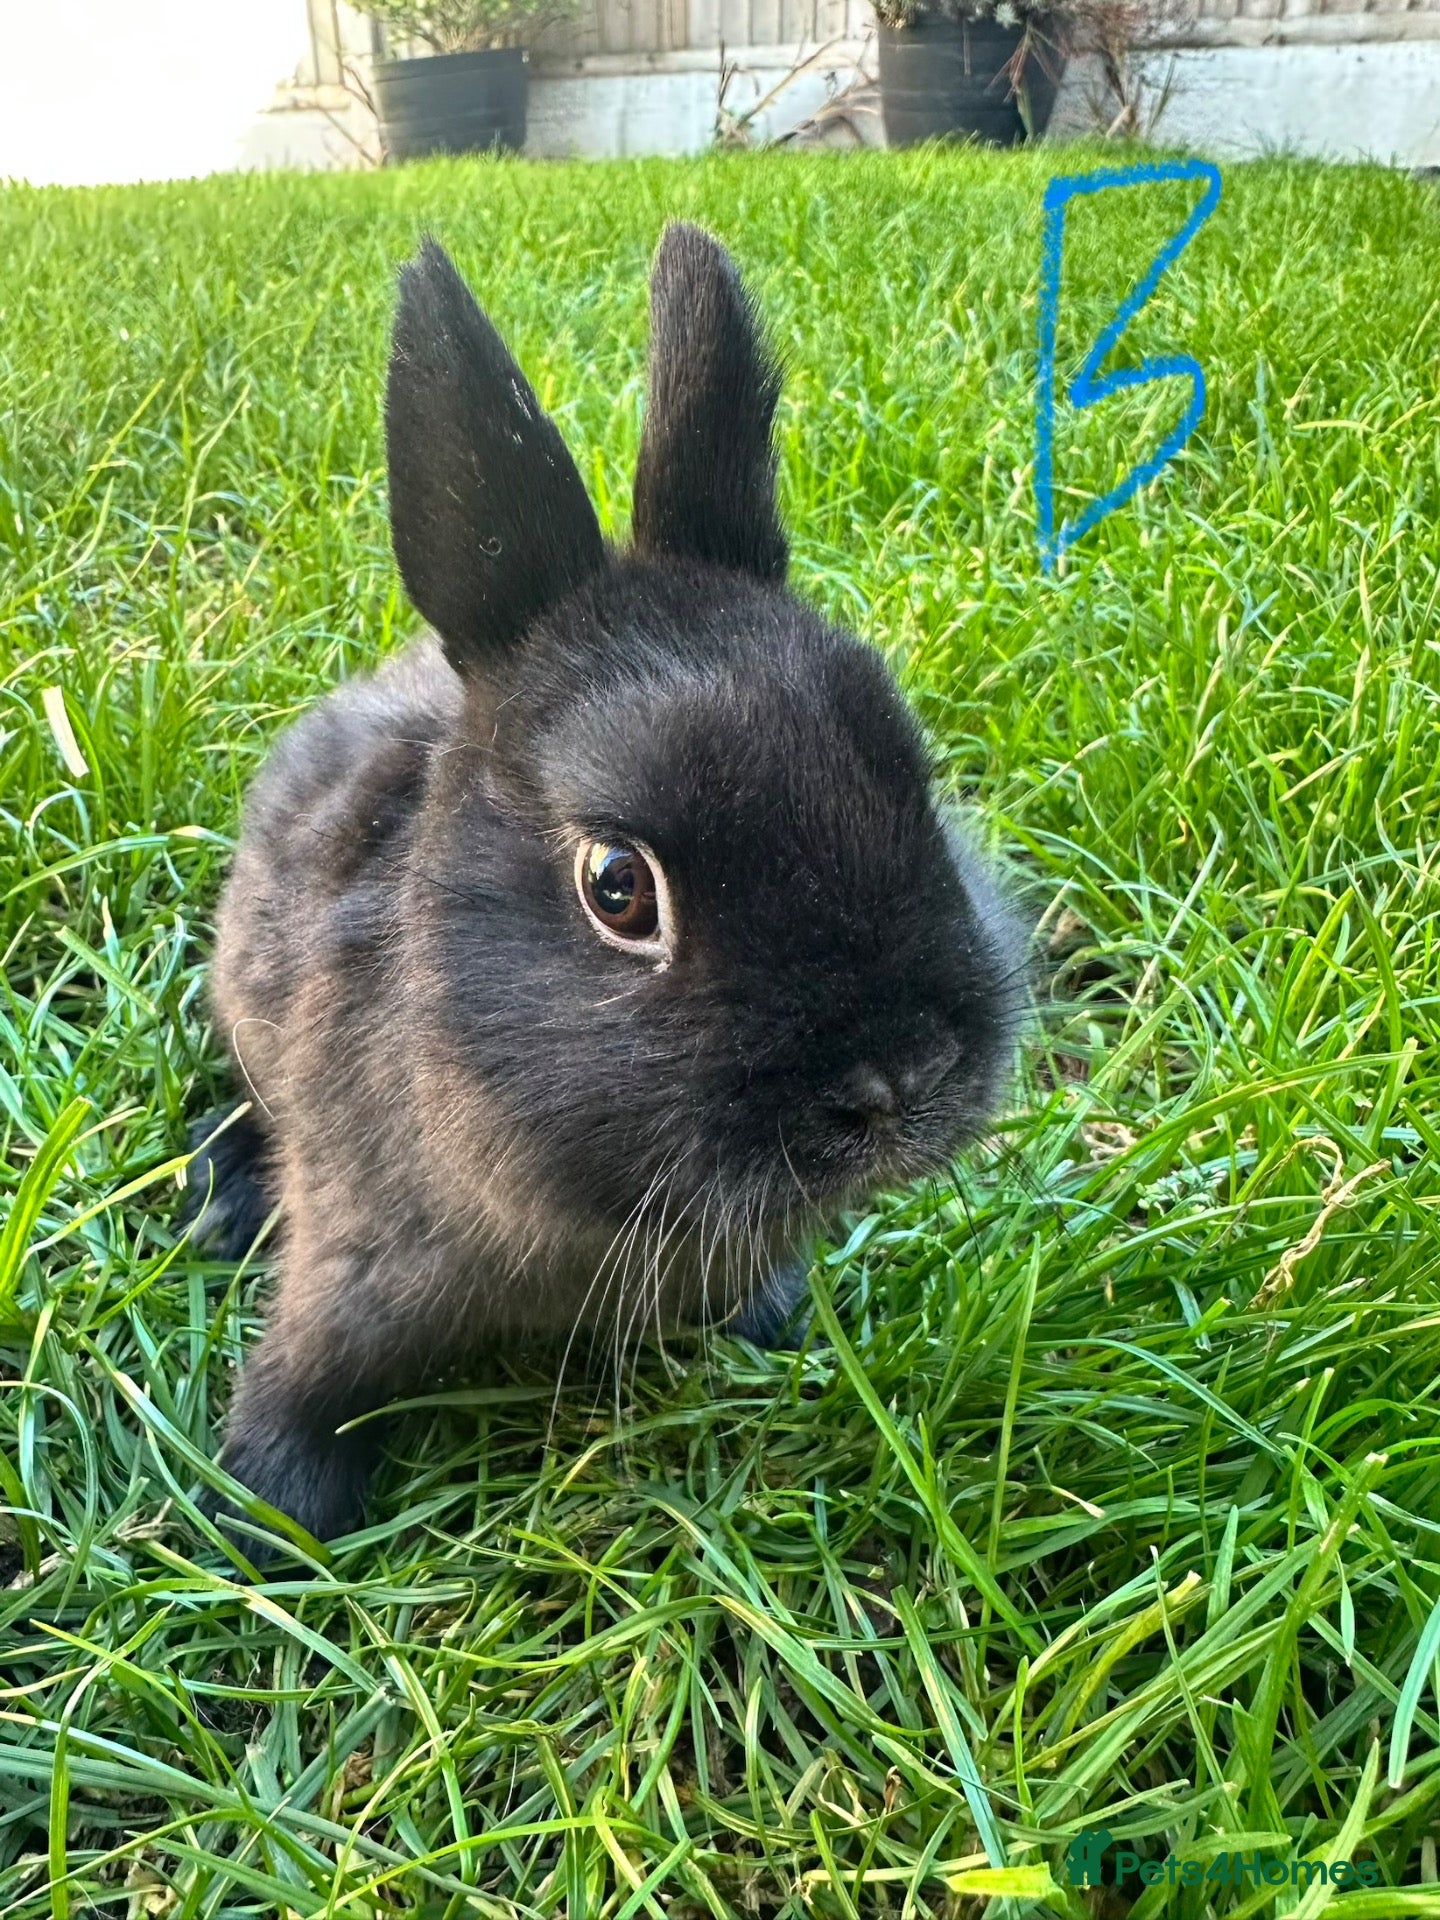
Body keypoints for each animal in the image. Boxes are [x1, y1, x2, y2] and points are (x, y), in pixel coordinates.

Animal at [183, 223, 1027, 1548]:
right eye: (619, 888)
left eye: (913, 774)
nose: (902, 1078)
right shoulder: (350, 1264)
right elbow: (308, 1377)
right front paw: (274, 1519)